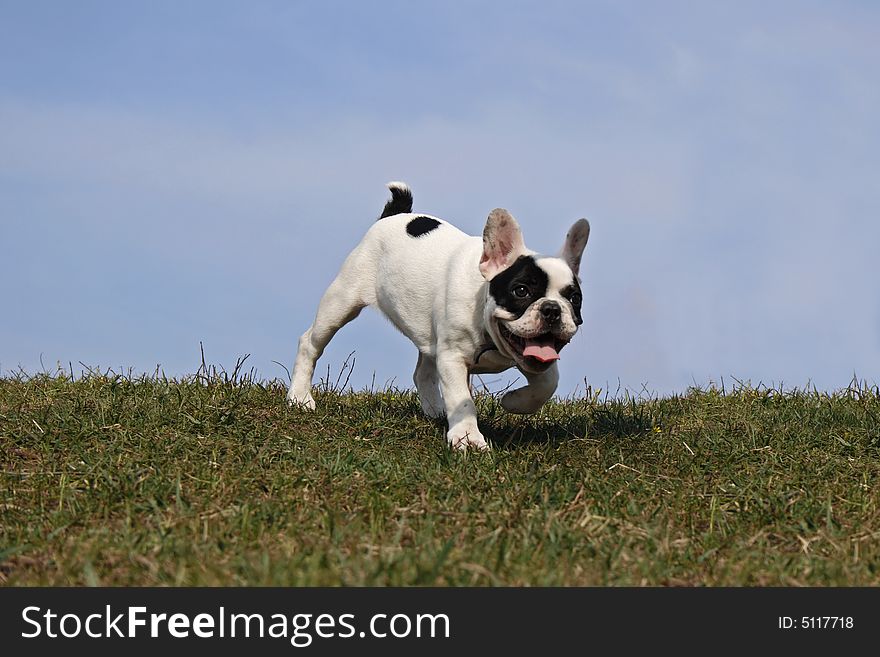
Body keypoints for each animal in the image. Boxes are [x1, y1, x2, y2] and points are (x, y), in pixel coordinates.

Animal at [290, 182, 592, 448]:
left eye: (574, 298)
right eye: (521, 291)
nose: (552, 309)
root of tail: (395, 215)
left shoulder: (534, 358)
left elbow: (548, 384)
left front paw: (514, 402)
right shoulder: (452, 358)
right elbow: (463, 399)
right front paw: (467, 438)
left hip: (428, 333)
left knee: (422, 373)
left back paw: (436, 410)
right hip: (341, 301)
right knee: (311, 343)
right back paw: (300, 397)